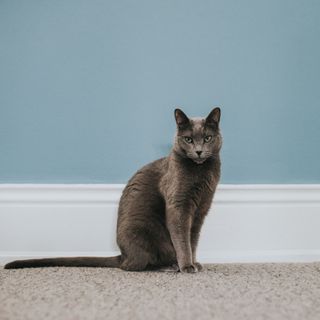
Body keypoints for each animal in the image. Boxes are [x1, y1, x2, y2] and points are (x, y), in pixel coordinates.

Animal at [3, 107, 221, 272]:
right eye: (189, 139)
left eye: (207, 138)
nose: (199, 151)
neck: (202, 172)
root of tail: (123, 254)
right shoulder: (179, 205)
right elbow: (182, 239)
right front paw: (186, 266)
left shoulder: (201, 209)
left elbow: (192, 240)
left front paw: (194, 262)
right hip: (143, 231)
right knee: (135, 265)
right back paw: (169, 266)